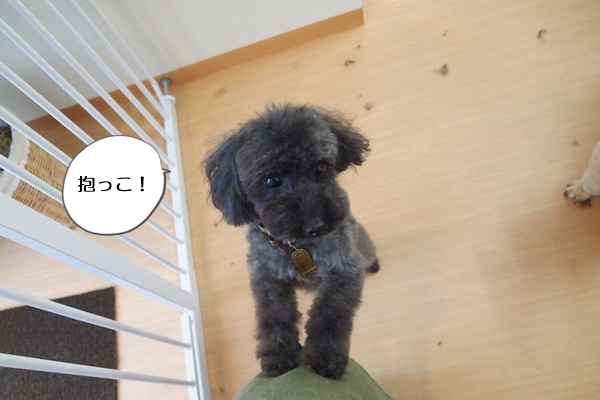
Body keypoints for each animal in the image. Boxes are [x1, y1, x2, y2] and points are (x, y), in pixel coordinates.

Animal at [204, 103, 379, 379]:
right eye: (271, 181)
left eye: (320, 168)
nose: (316, 226)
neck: (296, 245)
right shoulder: (265, 278)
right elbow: (273, 316)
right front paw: (278, 356)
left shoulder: (345, 269)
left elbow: (331, 312)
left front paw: (325, 356)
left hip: (363, 246)